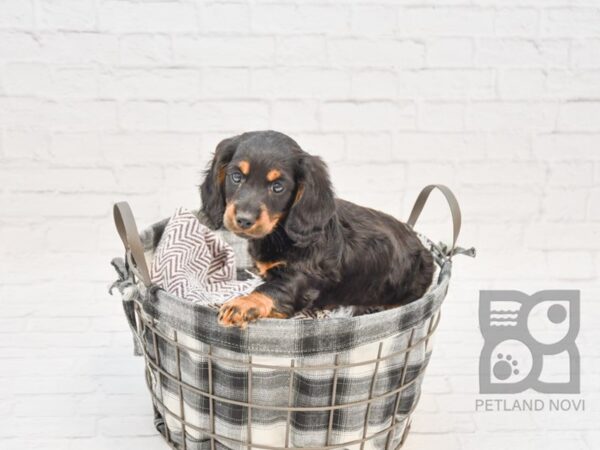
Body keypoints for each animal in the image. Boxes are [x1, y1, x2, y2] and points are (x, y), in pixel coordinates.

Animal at [199, 130, 434, 326]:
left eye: (278, 187)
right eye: (236, 176)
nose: (244, 220)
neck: (280, 233)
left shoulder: (301, 278)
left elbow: (272, 290)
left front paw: (242, 304)